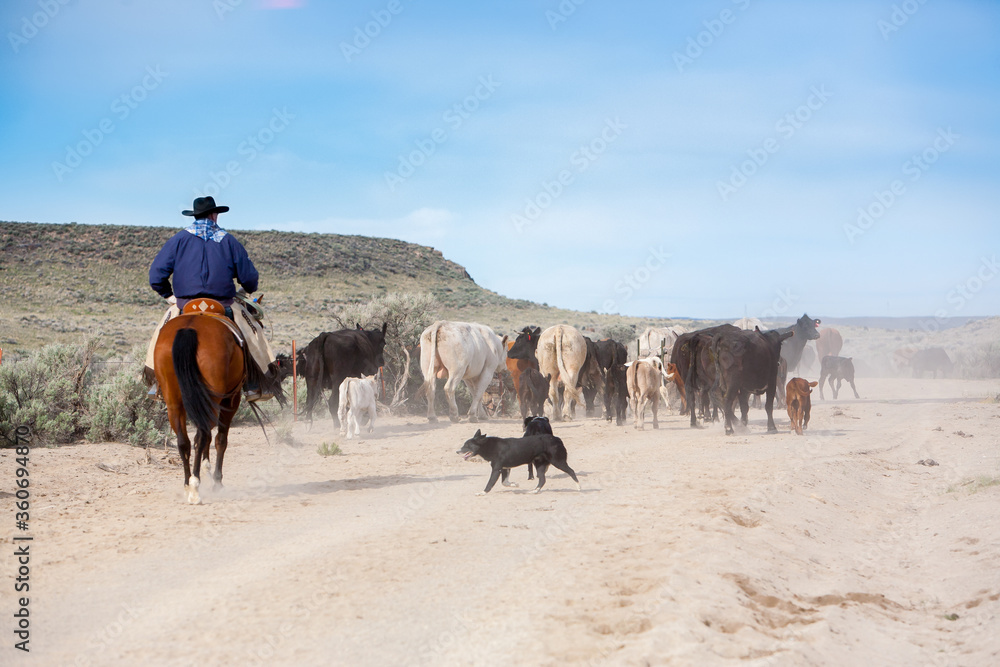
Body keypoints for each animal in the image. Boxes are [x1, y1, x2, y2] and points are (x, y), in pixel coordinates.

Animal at [154, 310, 246, 504]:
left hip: (173, 401)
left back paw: (188, 485)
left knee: (184, 441)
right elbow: (220, 440)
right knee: (201, 437)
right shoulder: (231, 399)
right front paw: (217, 482)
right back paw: (195, 486)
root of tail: (189, 327)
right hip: (213, 398)